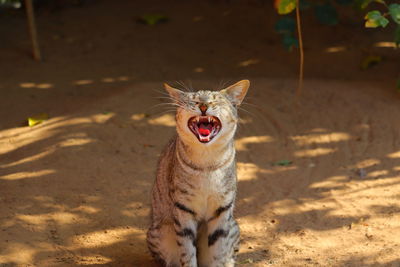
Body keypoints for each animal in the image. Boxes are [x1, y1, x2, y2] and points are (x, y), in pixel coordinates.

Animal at [145, 80, 248, 267]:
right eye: (193, 100)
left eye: (215, 100)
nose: (203, 105)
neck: (207, 163)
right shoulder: (183, 209)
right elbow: (187, 252)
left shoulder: (222, 210)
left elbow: (219, 252)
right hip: (161, 231)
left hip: (234, 227)